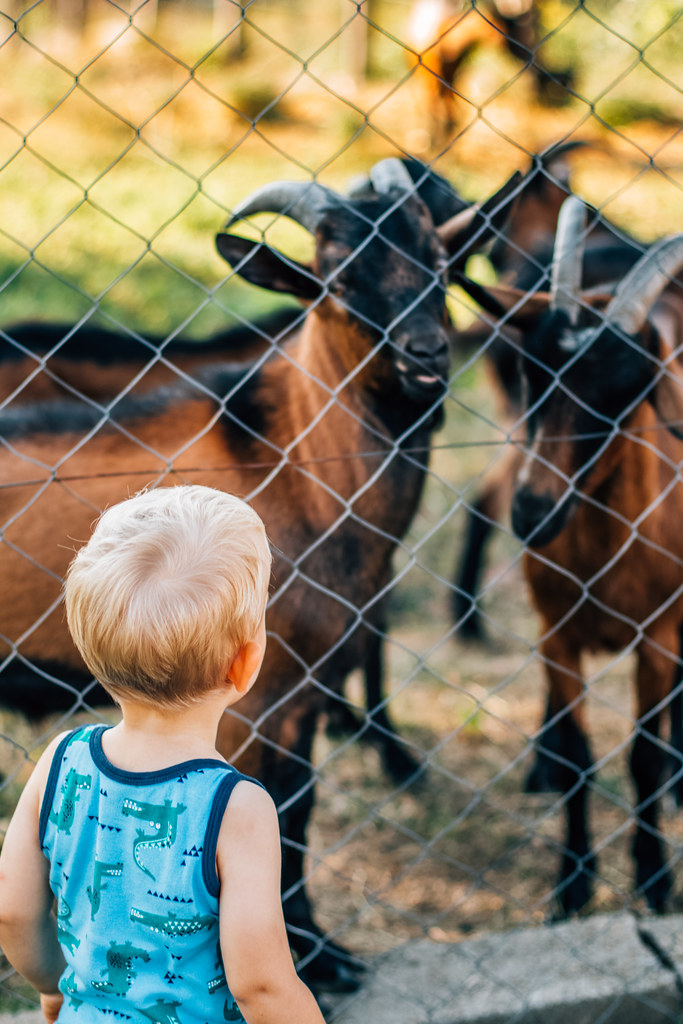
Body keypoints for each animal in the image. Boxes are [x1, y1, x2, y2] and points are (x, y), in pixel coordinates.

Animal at [456, 195, 683, 917]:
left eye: (625, 392)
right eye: (533, 375)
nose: (531, 512)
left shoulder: (658, 635)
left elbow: (641, 756)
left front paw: (653, 877)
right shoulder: (555, 632)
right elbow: (583, 753)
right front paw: (571, 881)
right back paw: (541, 762)